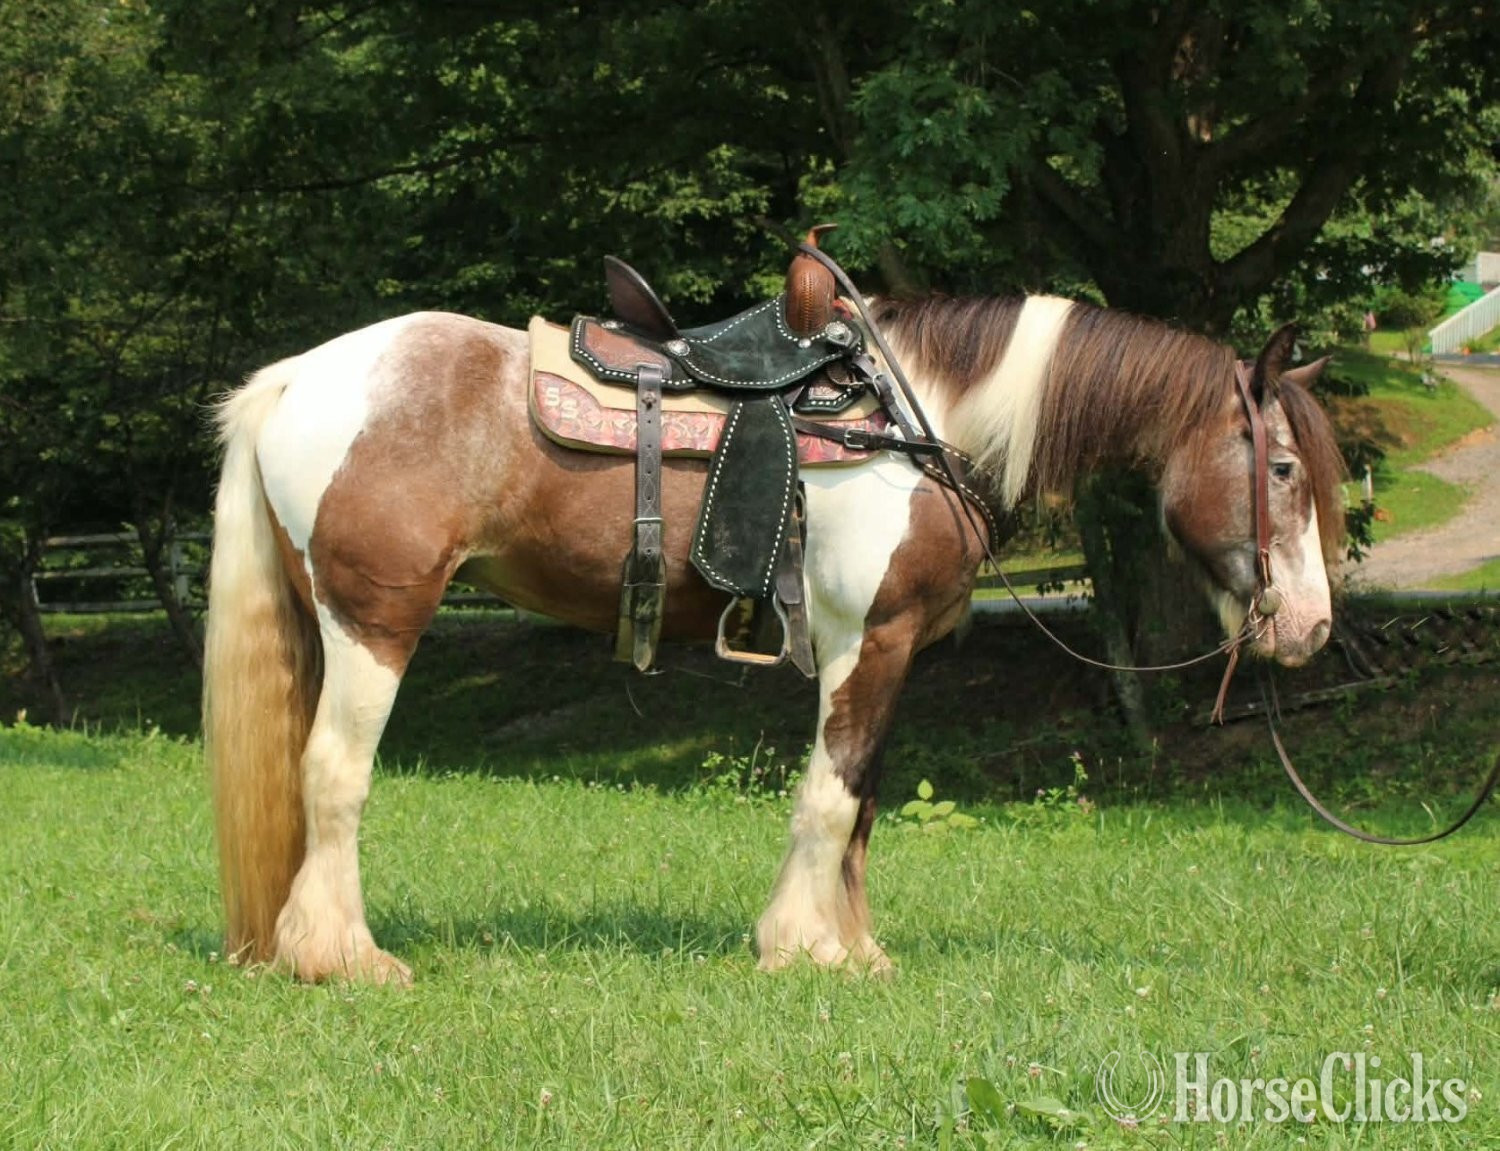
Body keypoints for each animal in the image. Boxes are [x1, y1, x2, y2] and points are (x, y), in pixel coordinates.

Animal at [204, 292, 1346, 984]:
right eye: (1284, 468)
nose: (1312, 626)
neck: (913, 425)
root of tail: (301, 377)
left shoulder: (893, 655)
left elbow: (865, 800)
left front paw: (855, 947)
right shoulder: (865, 644)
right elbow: (830, 794)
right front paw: (803, 946)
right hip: (377, 622)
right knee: (334, 772)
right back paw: (344, 955)